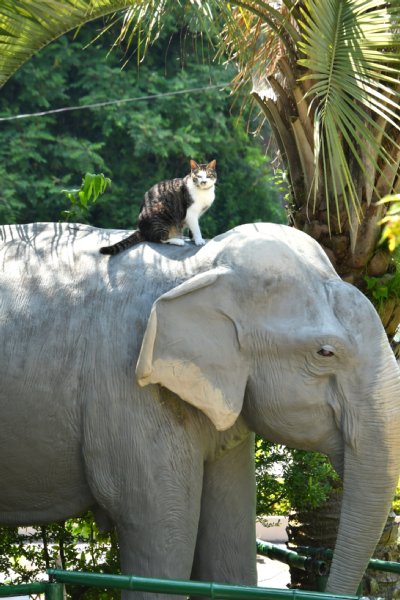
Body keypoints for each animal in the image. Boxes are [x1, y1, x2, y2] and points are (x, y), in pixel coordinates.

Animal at [0, 223, 400, 596]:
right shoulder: (126, 392)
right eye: (325, 353)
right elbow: (160, 540)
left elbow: (230, 548)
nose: (322, 574)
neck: (192, 266)